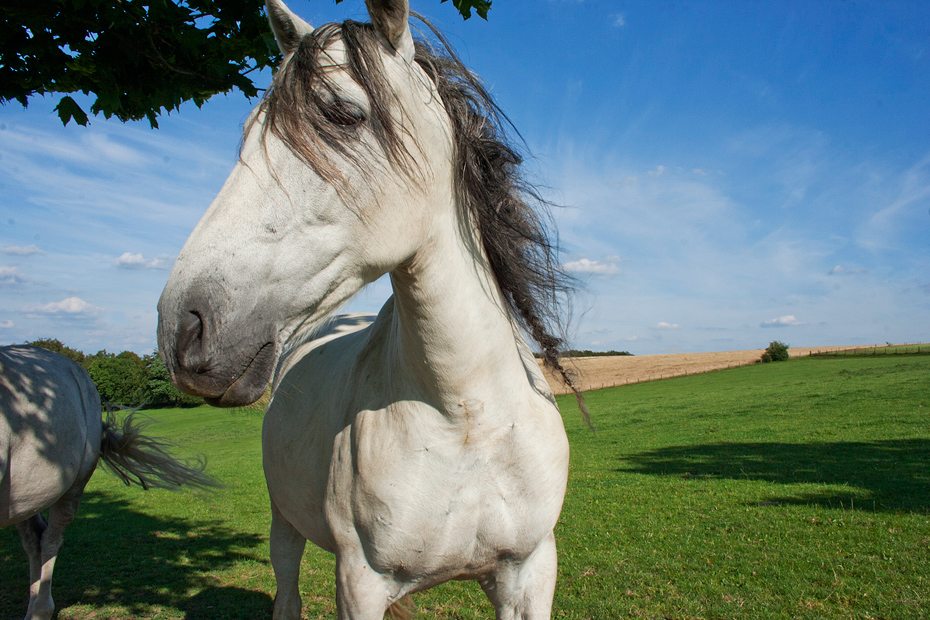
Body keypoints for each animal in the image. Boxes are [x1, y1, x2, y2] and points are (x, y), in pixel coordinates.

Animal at [157, 0, 584, 616]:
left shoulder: (530, 572)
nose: (183, 328)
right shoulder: (360, 581)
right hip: (285, 525)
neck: (466, 415)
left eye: (342, 115)